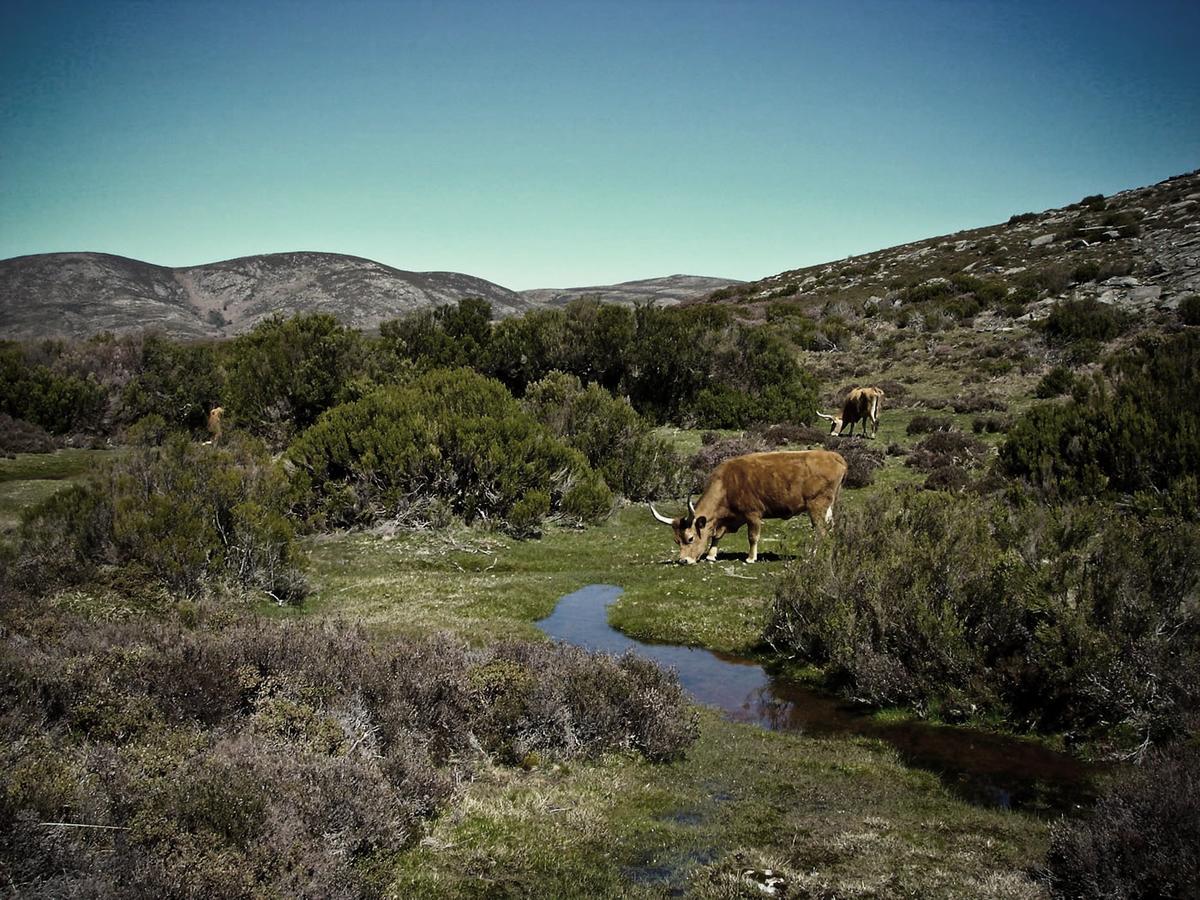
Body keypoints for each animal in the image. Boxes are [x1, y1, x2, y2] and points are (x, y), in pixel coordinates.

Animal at [652, 448, 849, 564]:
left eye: (690, 538)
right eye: (676, 540)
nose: (683, 560)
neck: (727, 483)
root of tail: (834, 456)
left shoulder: (753, 514)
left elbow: (753, 537)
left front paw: (751, 557)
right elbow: (717, 535)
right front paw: (711, 554)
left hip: (817, 505)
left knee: (821, 530)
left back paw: (812, 555)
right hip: (829, 506)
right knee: (831, 527)